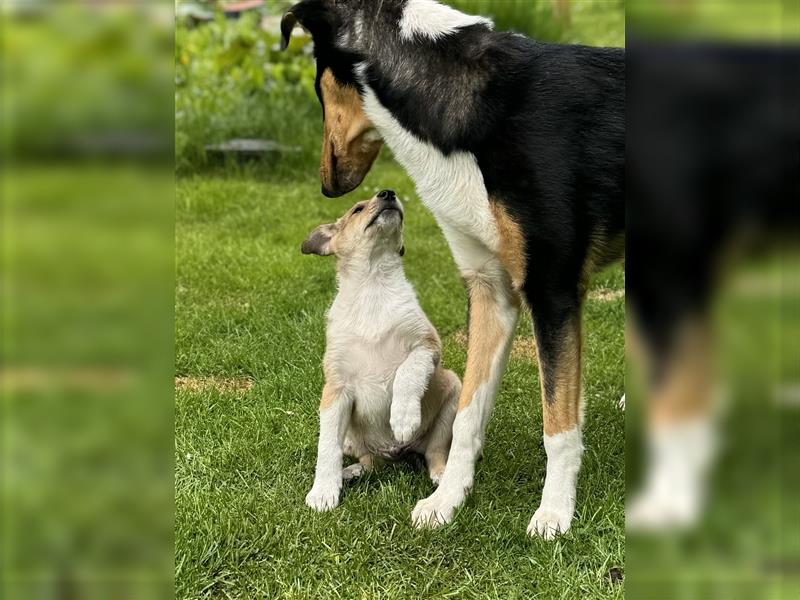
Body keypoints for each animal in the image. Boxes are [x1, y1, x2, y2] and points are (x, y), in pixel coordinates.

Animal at [302, 189, 462, 510]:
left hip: (452, 391)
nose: (388, 193)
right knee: (367, 461)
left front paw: (403, 418)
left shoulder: (427, 345)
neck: (372, 285)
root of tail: (395, 453)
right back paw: (350, 472)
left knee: (436, 452)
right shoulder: (336, 389)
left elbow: (407, 373)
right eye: (357, 209)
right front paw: (323, 493)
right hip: (354, 440)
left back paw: (439, 475)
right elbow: (327, 447)